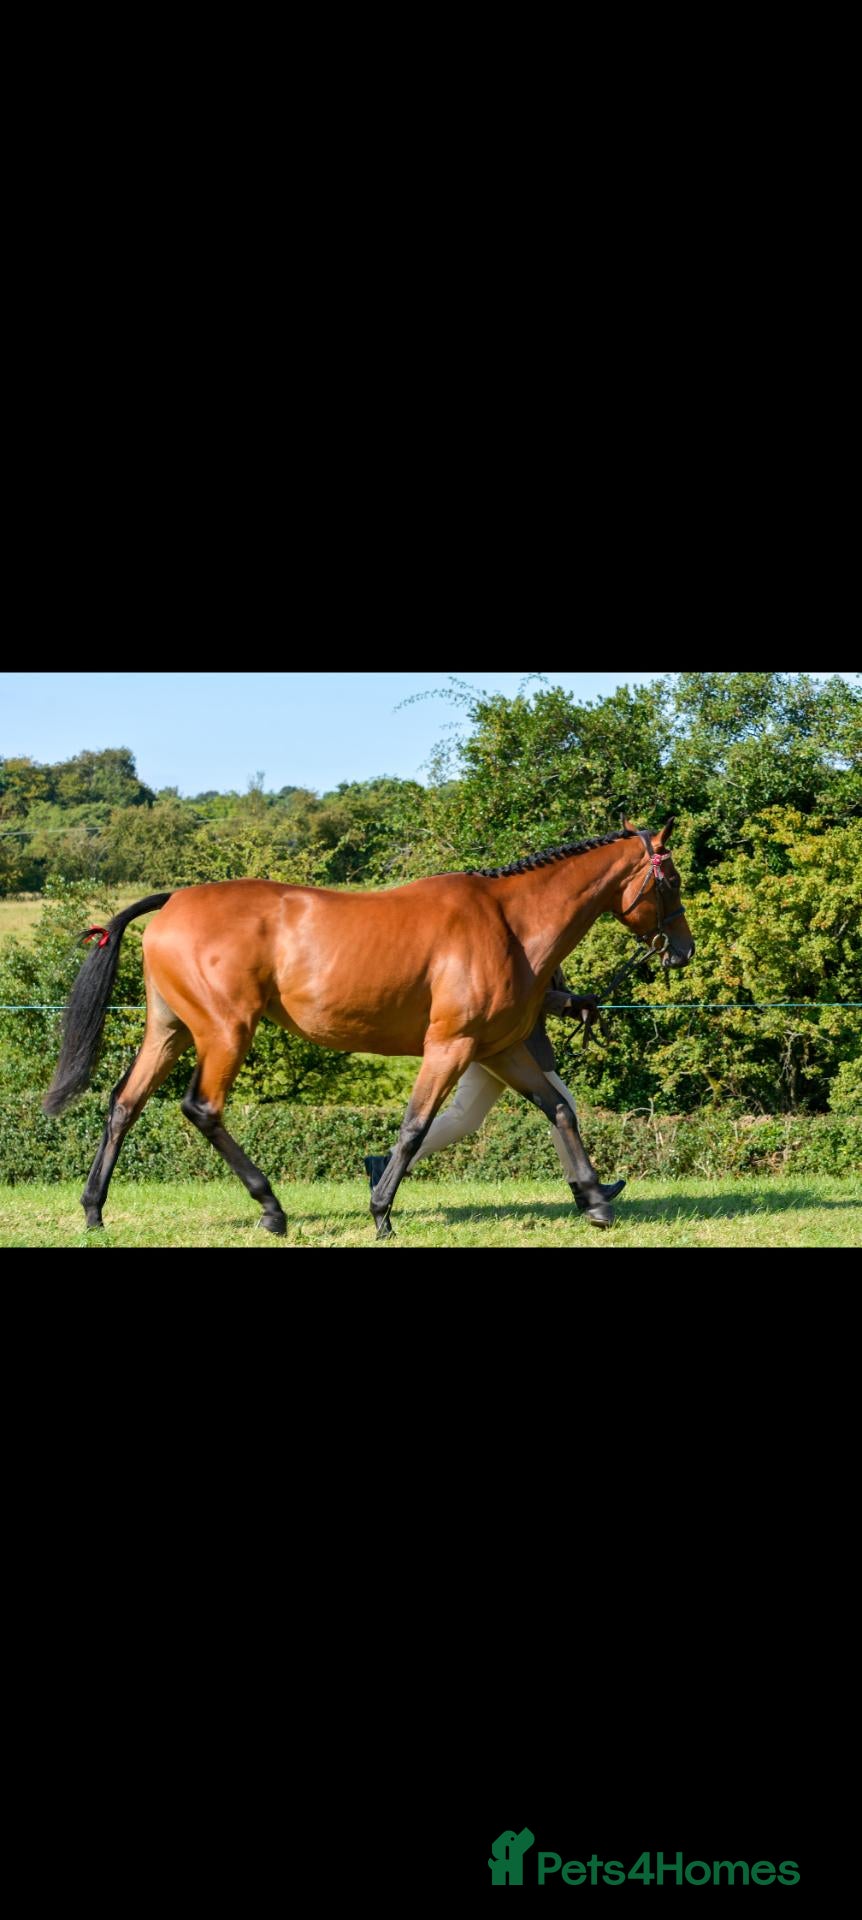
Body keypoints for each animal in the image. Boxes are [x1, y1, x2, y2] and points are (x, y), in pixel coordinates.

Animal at [42, 816, 693, 1238]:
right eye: (671, 882)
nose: (681, 951)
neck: (508, 923)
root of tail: (174, 901)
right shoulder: (450, 1046)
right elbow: (413, 1128)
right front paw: (381, 1212)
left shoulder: (500, 1049)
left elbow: (558, 1110)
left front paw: (595, 1200)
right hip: (225, 1033)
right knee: (201, 1108)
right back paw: (272, 1209)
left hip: (170, 1031)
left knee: (123, 1104)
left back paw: (94, 1211)